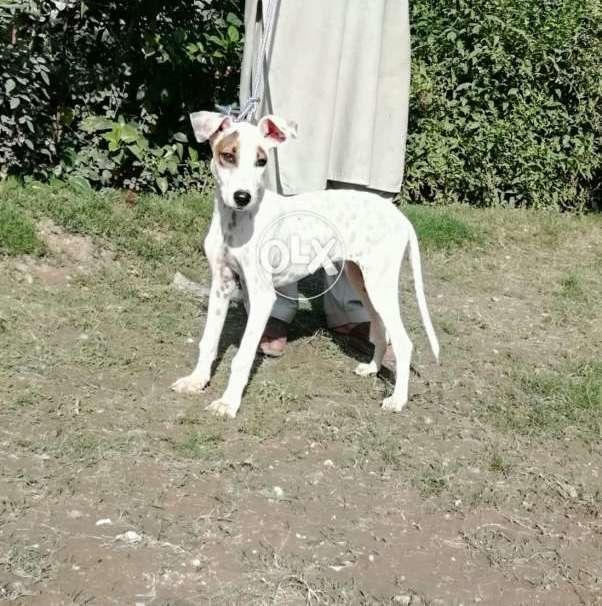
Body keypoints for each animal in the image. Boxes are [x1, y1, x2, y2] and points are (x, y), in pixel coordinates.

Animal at [172, 111, 439, 418]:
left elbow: (242, 356)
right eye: (228, 156)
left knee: (404, 342)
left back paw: (398, 400)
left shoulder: (263, 295)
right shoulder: (221, 285)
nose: (242, 197)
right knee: (381, 328)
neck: (236, 223)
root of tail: (400, 217)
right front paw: (196, 381)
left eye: (261, 161)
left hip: (379, 284)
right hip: (361, 280)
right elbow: (208, 341)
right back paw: (372, 369)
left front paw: (228, 402)